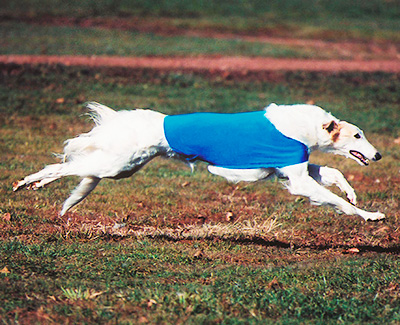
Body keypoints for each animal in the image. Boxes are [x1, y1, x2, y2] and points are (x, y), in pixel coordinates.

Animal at [13, 102, 384, 221]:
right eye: (357, 136)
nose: (378, 154)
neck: (300, 127)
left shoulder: (291, 169)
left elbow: (333, 174)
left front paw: (353, 193)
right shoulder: (297, 179)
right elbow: (336, 200)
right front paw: (370, 215)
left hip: (121, 168)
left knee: (72, 168)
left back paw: (38, 185)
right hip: (116, 166)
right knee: (63, 165)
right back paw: (27, 181)